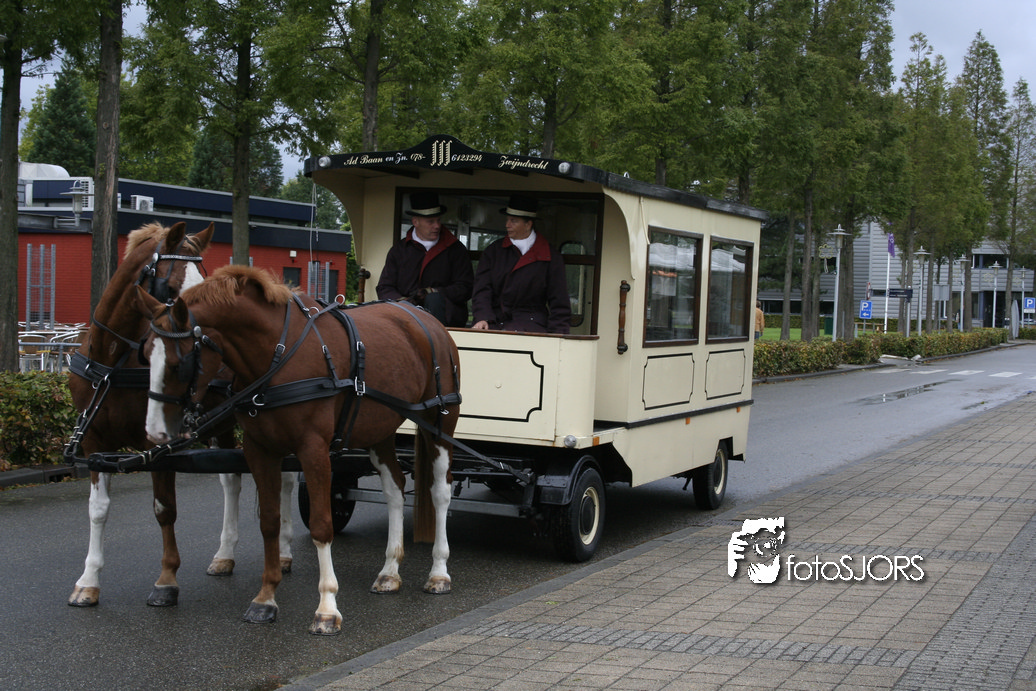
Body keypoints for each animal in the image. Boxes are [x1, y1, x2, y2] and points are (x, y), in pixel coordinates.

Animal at [65, 222, 295, 609]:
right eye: (171, 288)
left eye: (203, 279)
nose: (201, 336)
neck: (113, 363)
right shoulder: (93, 443)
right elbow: (98, 509)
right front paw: (88, 580)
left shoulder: (155, 443)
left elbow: (164, 508)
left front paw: (167, 580)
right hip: (223, 425)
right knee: (231, 480)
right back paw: (224, 555)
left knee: (288, 479)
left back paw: (285, 551)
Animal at [135, 265, 460, 635]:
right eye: (145, 353)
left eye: (179, 364)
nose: (154, 432)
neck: (277, 355)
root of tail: (427, 319)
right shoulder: (259, 451)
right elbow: (269, 522)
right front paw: (265, 599)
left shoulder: (313, 450)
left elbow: (321, 526)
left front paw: (327, 607)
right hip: (380, 429)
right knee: (394, 488)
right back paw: (390, 571)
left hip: (440, 424)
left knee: (440, 492)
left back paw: (439, 572)